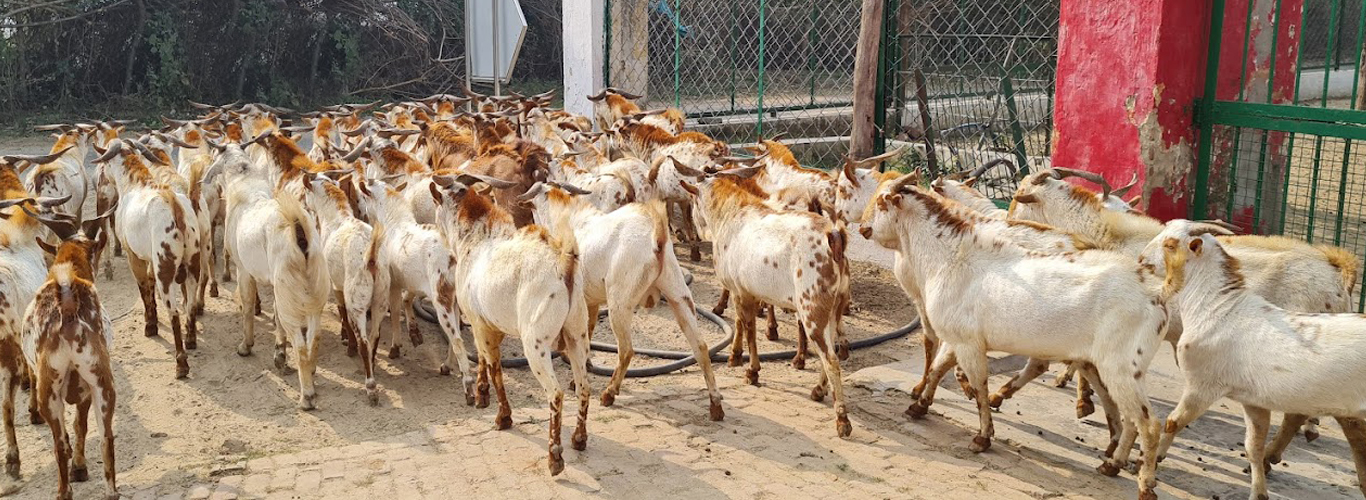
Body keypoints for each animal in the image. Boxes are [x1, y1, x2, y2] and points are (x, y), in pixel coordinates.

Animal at [429, 173, 592, 476]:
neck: (476, 238)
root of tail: (564, 263)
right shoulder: (488, 324)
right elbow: (484, 358)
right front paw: (482, 395)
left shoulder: (480, 324)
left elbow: (495, 369)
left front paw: (502, 417)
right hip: (577, 336)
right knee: (584, 386)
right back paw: (579, 439)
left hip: (535, 344)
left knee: (556, 393)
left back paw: (555, 457)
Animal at [520, 182, 723, 419]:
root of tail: (656, 233)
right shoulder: (591, 301)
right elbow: (587, 335)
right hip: (678, 294)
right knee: (700, 346)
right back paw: (715, 405)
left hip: (619, 304)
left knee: (626, 350)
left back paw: (609, 393)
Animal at [862, 177, 1167, 499]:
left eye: (882, 202)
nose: (863, 227)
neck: (951, 257)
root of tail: (1156, 297)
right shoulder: (957, 338)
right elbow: (937, 369)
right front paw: (918, 406)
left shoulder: (968, 344)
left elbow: (979, 388)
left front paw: (982, 437)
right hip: (1115, 368)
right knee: (1130, 417)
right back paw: (1112, 463)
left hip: (1120, 368)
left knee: (1148, 424)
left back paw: (1144, 484)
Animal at [1153, 223, 1366, 500]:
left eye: (1170, 244)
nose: (1142, 261)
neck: (1218, 308)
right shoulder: (1253, 401)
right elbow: (1252, 445)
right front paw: (1259, 491)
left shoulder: (1201, 387)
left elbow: (1173, 422)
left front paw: (1153, 460)